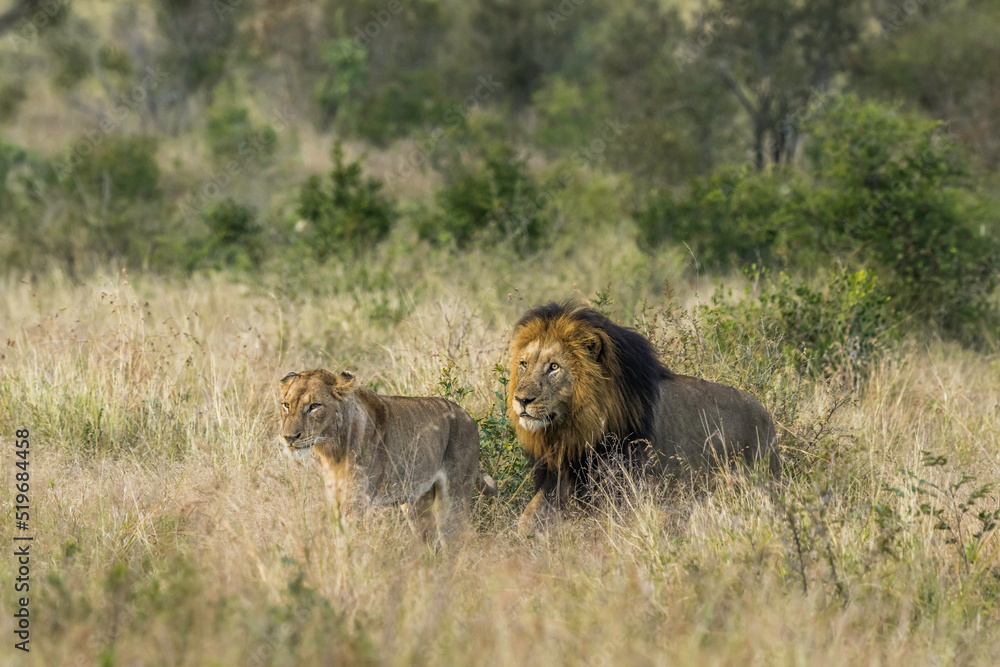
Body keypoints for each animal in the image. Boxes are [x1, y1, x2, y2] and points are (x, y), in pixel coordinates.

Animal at [279, 369, 496, 544]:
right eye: (286, 405)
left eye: (314, 406)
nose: (289, 437)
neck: (332, 450)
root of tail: (469, 417)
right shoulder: (336, 498)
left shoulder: (357, 502)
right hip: (417, 500)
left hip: (454, 499)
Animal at [509, 302, 780, 534]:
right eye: (523, 364)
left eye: (554, 367)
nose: (521, 400)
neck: (575, 429)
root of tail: (764, 413)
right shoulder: (560, 478)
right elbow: (525, 520)